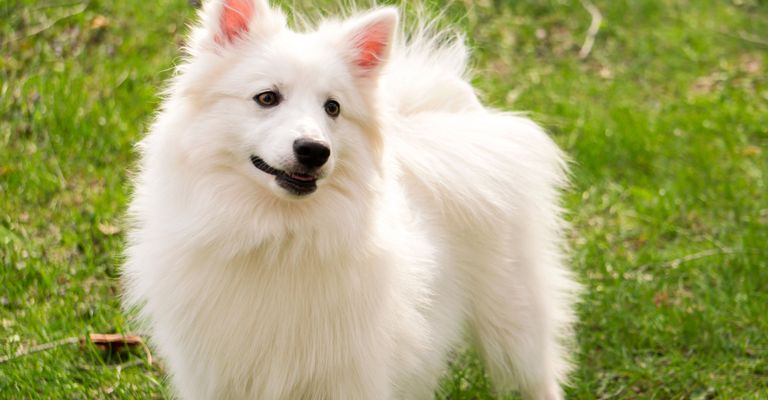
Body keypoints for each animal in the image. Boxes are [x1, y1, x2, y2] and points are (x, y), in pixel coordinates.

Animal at [121, 1, 576, 398]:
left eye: (333, 108)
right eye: (267, 98)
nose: (313, 150)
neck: (277, 237)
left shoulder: (348, 375)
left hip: (514, 318)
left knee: (540, 376)